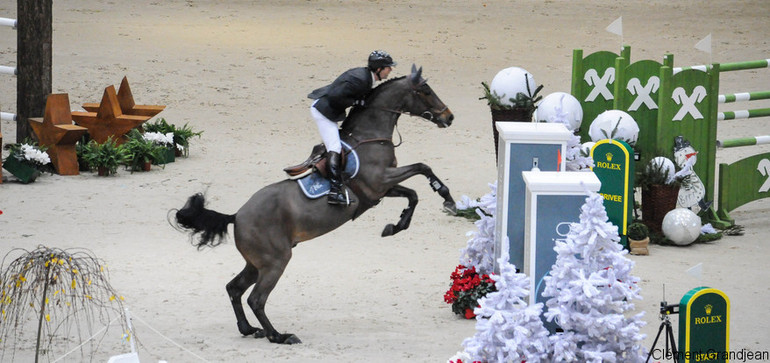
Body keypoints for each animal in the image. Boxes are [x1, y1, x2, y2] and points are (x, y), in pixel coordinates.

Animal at [174, 64, 456, 346]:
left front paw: (397, 225)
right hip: (276, 261)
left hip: (256, 263)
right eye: (426, 91)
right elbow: (422, 167)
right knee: (256, 299)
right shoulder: (380, 181)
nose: (449, 117)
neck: (370, 136)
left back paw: (248, 328)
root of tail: (237, 215)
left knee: (234, 288)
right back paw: (278, 335)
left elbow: (413, 194)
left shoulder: (381, 190)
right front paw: (447, 200)